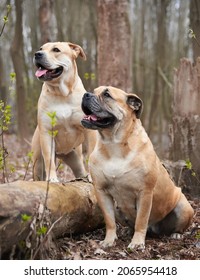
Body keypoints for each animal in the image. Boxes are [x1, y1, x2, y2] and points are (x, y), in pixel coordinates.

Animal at [31, 41, 95, 182]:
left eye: (56, 50)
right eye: (41, 48)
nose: (37, 54)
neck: (62, 94)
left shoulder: (89, 130)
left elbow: (91, 154)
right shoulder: (47, 133)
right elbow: (49, 159)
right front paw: (52, 179)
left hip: (75, 156)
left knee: (80, 168)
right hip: (37, 161)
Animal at [80, 85, 193, 249]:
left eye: (107, 94)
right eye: (94, 91)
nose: (86, 95)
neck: (113, 144)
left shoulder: (144, 192)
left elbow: (141, 220)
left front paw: (137, 243)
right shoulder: (102, 192)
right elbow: (109, 221)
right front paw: (109, 240)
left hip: (184, 206)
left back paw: (176, 234)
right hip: (117, 207)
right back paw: (127, 231)